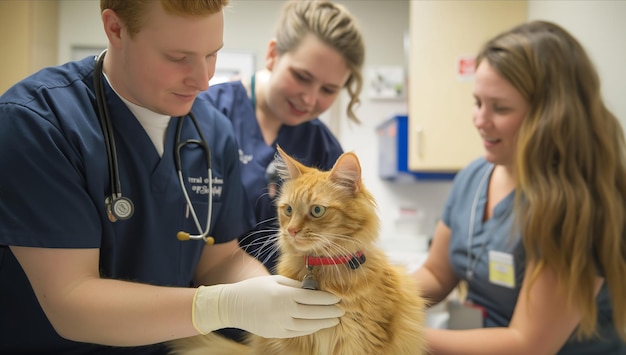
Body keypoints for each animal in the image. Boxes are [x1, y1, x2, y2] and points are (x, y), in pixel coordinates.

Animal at [168, 148, 426, 355]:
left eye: (317, 210)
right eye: (289, 210)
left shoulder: (364, 341)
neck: (321, 270)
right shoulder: (293, 341)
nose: (291, 230)